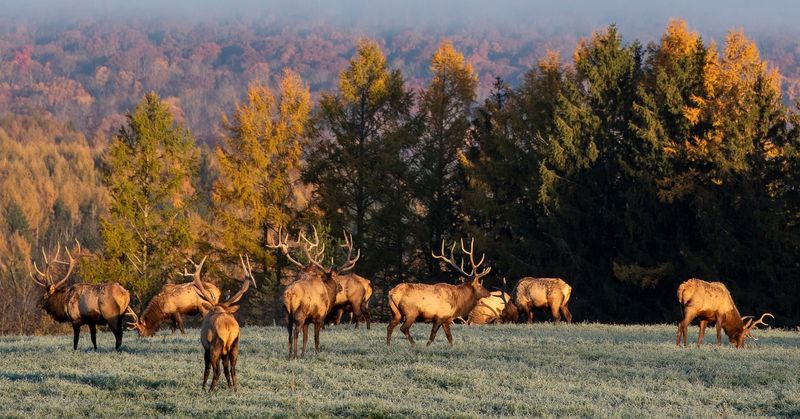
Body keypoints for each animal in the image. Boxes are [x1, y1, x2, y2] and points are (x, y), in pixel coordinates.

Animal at [189, 254, 256, 391]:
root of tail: (229, 328)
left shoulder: (206, 348)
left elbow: (207, 369)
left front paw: (203, 387)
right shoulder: (225, 352)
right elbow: (226, 370)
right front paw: (229, 386)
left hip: (216, 346)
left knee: (217, 371)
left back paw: (210, 390)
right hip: (234, 345)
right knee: (232, 369)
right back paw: (235, 389)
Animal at [268, 226, 360, 359]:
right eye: (336, 277)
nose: (341, 287)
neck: (328, 293)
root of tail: (289, 295)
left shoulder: (307, 321)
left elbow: (306, 338)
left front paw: (303, 354)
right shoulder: (319, 317)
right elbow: (316, 338)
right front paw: (317, 353)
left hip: (287, 314)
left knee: (289, 334)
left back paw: (290, 355)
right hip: (299, 314)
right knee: (295, 332)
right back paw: (294, 355)